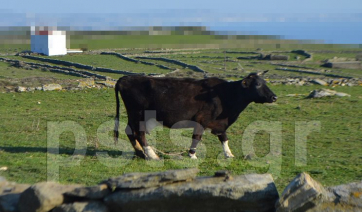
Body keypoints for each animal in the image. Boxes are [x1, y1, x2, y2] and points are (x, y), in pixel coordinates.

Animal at [114, 71, 278, 159]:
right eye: (257, 84)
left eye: (265, 82)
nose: (274, 97)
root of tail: (125, 78)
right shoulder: (201, 120)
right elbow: (197, 137)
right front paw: (192, 155)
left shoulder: (219, 123)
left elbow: (224, 138)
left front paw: (228, 154)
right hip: (139, 114)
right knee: (139, 134)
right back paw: (152, 155)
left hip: (134, 116)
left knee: (130, 131)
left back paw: (140, 153)